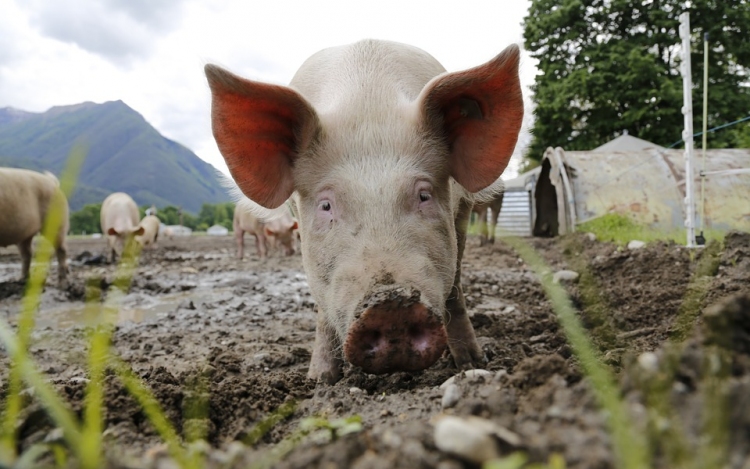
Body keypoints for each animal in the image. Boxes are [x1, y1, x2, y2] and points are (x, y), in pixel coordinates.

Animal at [206, 38, 524, 382]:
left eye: (424, 195)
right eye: (326, 205)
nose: (389, 305)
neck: (368, 106)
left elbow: (454, 286)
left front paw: (472, 365)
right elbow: (322, 307)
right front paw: (320, 380)